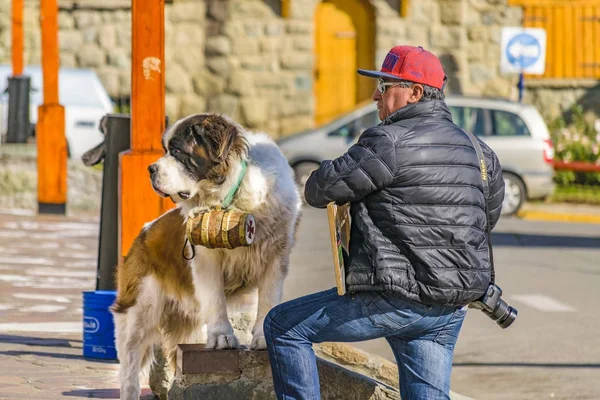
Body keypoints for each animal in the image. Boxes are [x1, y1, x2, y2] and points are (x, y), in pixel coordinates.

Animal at [110, 113, 302, 400]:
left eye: (178, 152)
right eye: (165, 150)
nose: (150, 169)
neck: (233, 197)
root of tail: (143, 233)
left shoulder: (275, 256)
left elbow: (268, 300)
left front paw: (262, 339)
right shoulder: (205, 257)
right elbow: (215, 298)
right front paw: (222, 337)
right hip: (141, 307)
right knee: (130, 363)